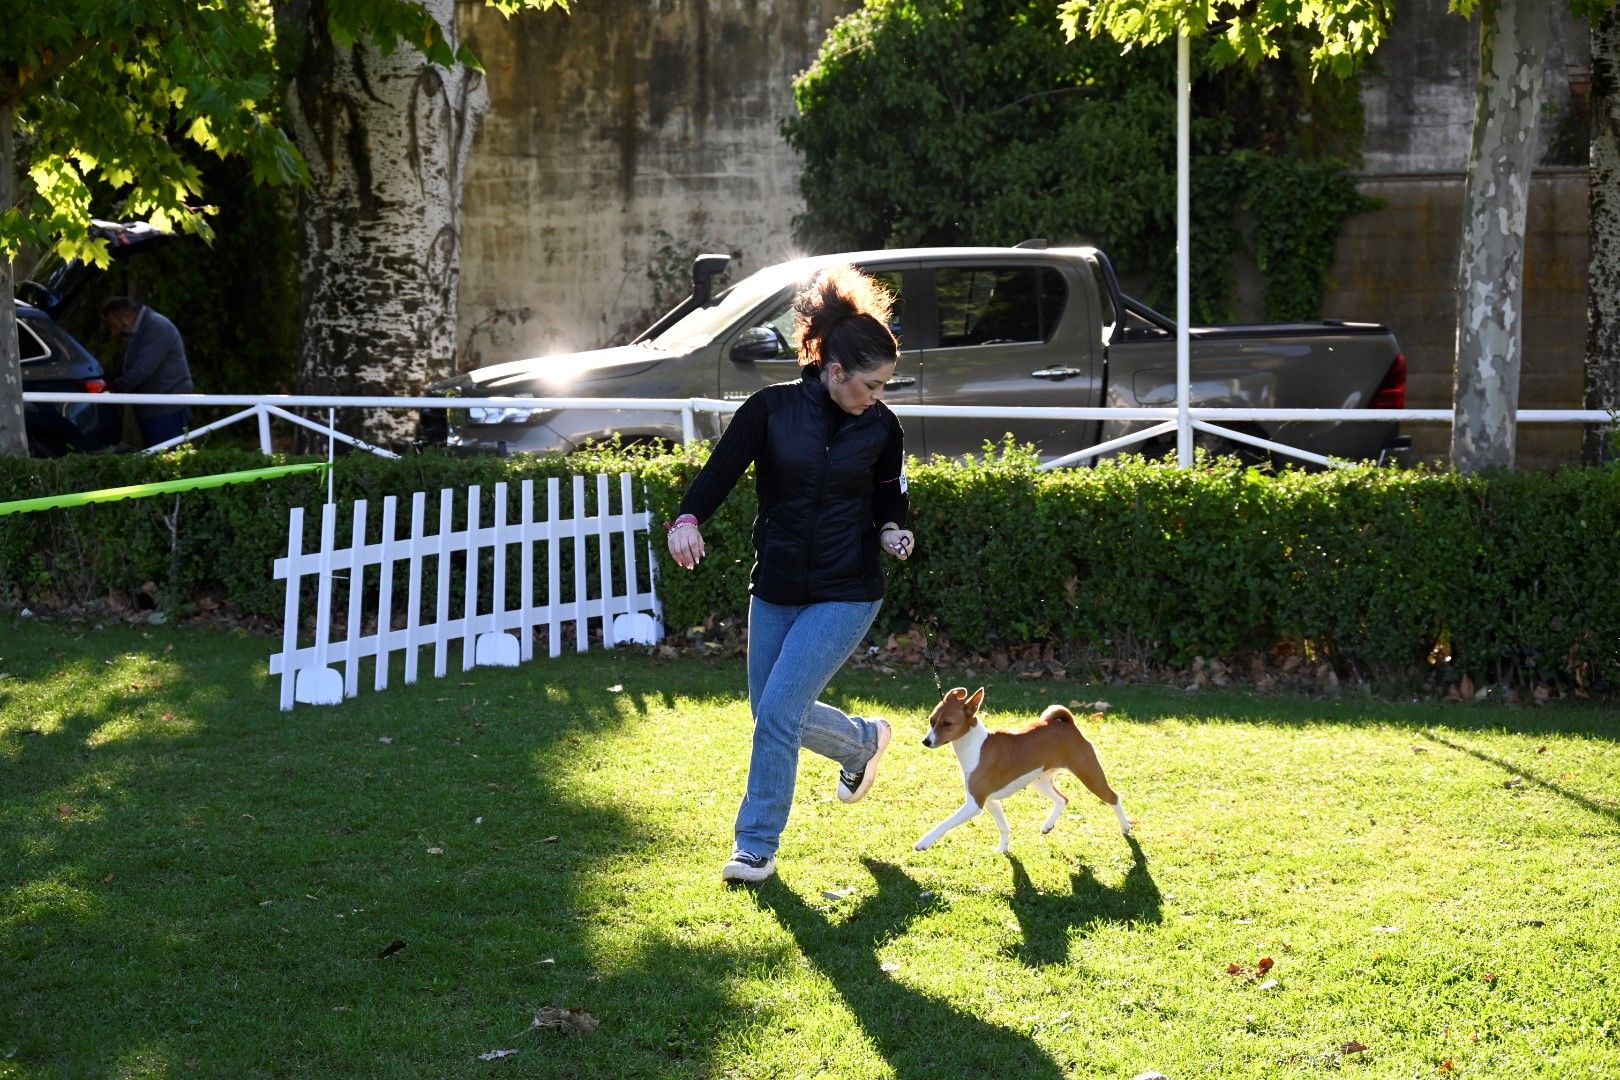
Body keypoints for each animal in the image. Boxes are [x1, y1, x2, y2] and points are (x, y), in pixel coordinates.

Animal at [920, 683, 1134, 854]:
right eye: (931, 720)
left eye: (947, 724)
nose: (925, 741)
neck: (975, 746)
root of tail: (1068, 725)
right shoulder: (988, 800)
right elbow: (1003, 827)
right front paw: (1003, 849)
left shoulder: (974, 804)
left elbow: (944, 824)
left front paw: (924, 842)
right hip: (1040, 781)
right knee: (1062, 799)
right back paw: (1048, 825)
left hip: (1090, 775)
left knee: (1114, 798)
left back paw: (1125, 827)